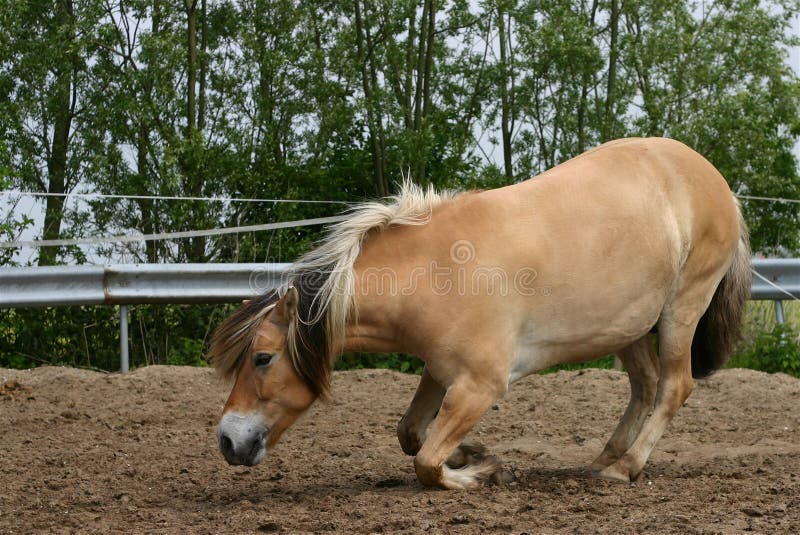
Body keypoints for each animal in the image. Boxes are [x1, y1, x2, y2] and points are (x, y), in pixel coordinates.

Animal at [206, 137, 752, 490]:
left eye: (262, 358)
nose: (227, 441)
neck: (435, 270)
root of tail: (717, 182)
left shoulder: (480, 386)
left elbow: (426, 462)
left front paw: (477, 471)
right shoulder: (440, 372)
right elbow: (410, 435)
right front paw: (477, 454)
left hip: (682, 309)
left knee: (673, 386)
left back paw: (625, 468)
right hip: (629, 326)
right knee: (644, 386)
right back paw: (603, 459)